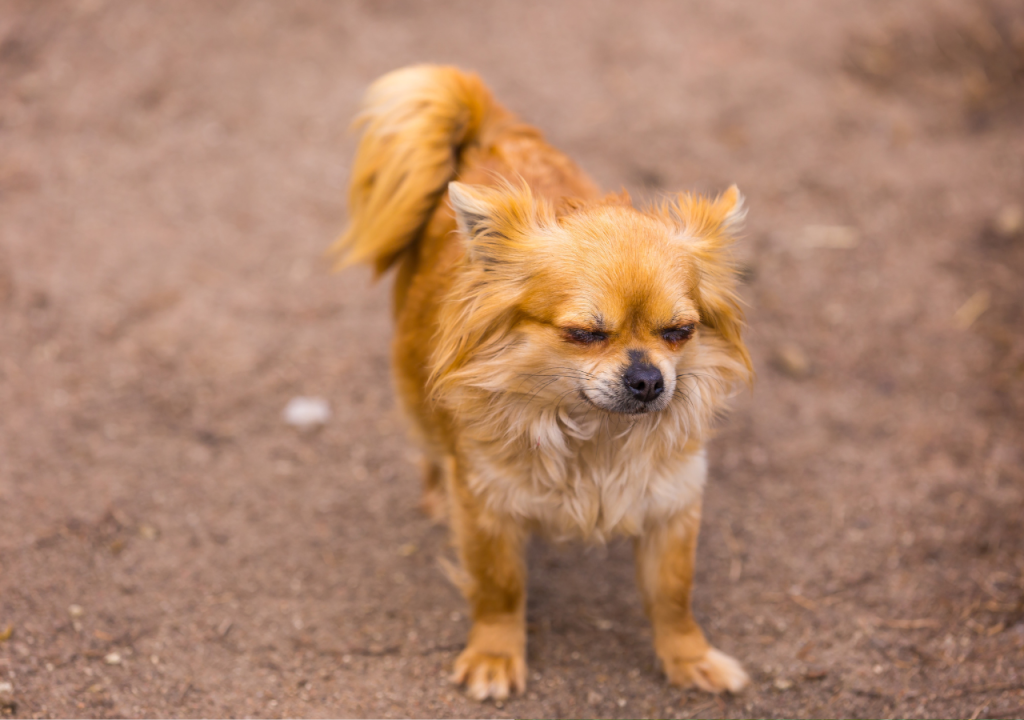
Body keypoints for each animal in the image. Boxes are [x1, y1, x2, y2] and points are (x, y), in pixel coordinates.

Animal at [333, 64, 753, 700]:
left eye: (679, 332)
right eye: (584, 334)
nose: (647, 378)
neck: (594, 436)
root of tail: (489, 135)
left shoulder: (672, 505)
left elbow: (672, 595)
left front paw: (690, 657)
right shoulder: (487, 506)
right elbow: (500, 588)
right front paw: (495, 655)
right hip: (413, 387)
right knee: (429, 444)